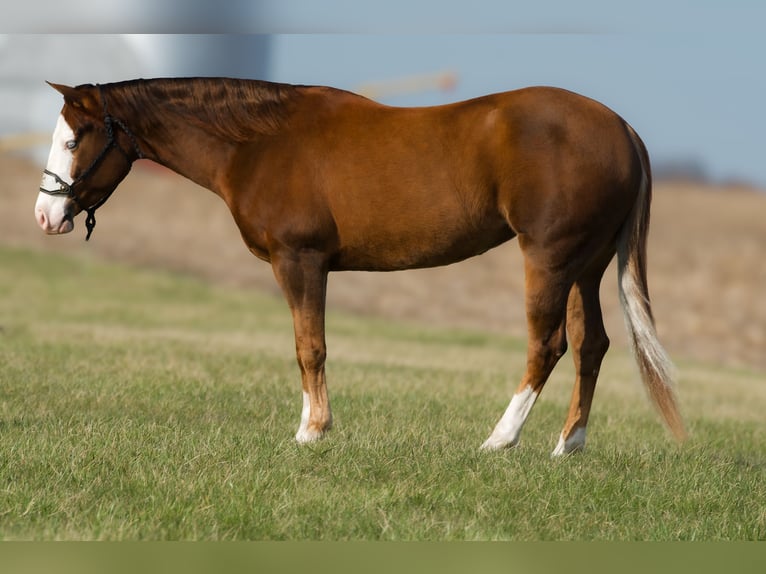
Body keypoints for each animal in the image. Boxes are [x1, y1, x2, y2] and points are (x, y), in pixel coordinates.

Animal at [34, 79, 688, 456]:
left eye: (75, 137)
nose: (45, 215)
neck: (259, 141)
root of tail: (621, 129)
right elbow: (307, 346)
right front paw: (312, 426)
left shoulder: (300, 260)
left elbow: (310, 347)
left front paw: (312, 433)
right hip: (587, 264)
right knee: (592, 343)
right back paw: (568, 445)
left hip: (548, 258)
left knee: (548, 344)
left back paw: (499, 440)